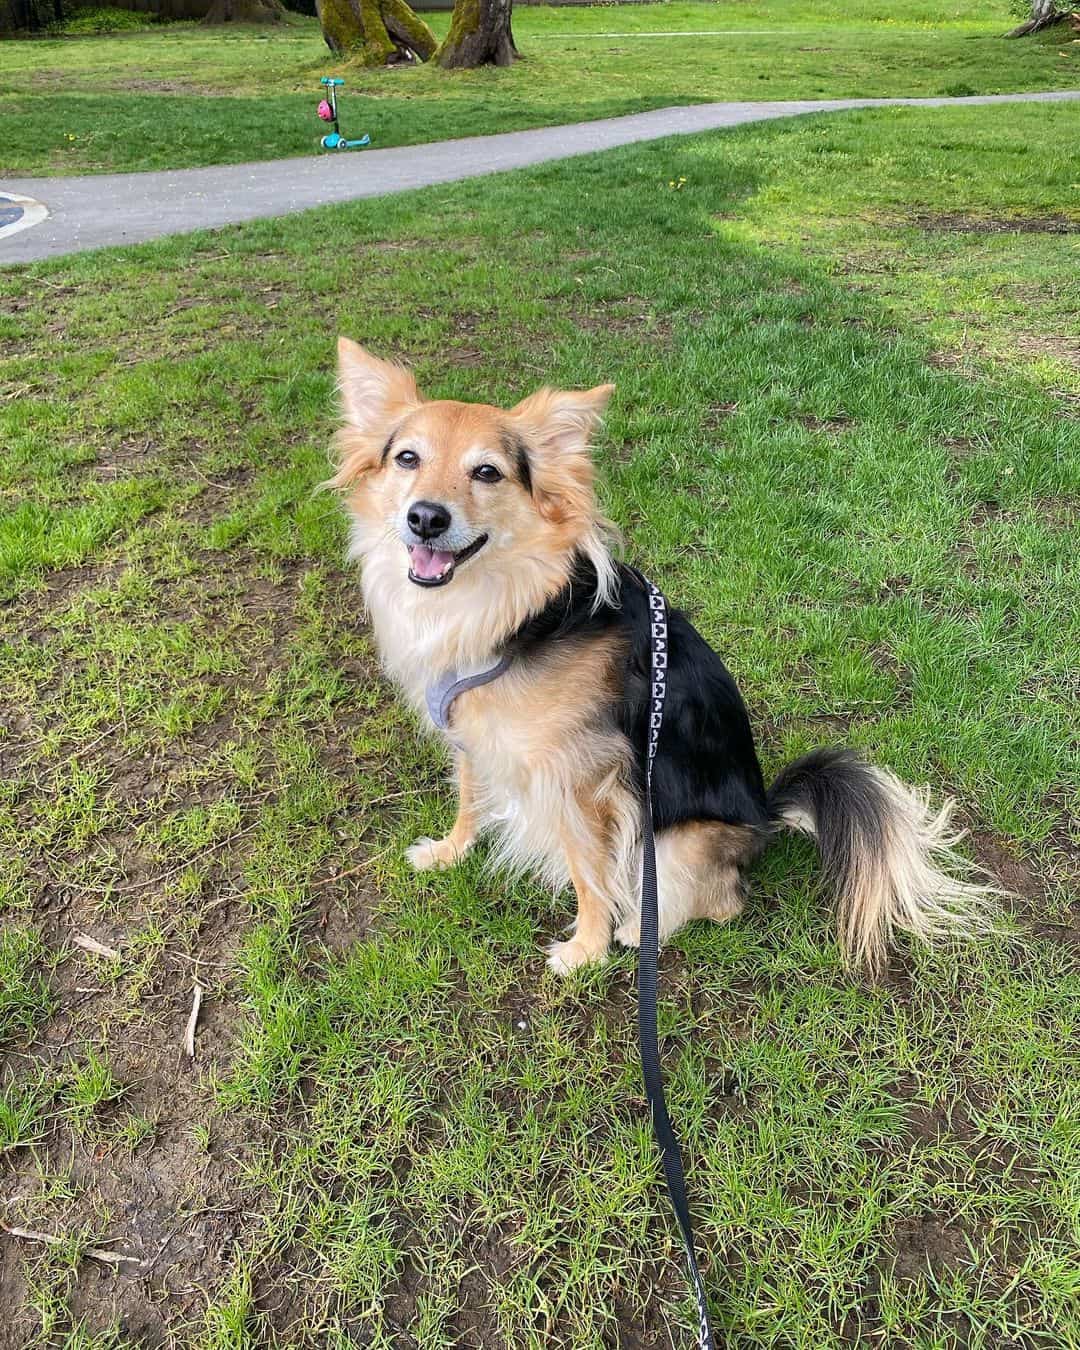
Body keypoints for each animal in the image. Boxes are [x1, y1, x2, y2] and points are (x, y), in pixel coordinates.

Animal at [330, 334, 993, 972]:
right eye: (407, 458)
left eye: (487, 473)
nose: (426, 518)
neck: (515, 609)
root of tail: (764, 817)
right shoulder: (476, 740)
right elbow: (470, 800)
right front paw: (449, 852)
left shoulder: (581, 781)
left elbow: (588, 872)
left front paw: (585, 949)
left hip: (675, 838)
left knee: (720, 901)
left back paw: (636, 928)